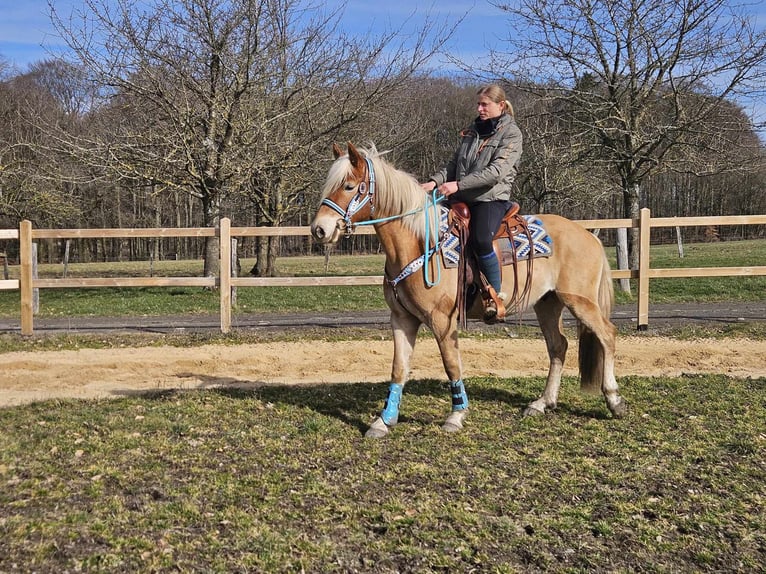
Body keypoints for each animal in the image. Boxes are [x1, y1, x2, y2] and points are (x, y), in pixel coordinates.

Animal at [312, 142, 632, 438]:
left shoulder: (442, 321)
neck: (420, 243)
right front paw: (383, 421)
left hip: (580, 301)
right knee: (558, 346)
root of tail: (589, 235)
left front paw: (456, 415)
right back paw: (542, 403)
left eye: (349, 186)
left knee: (607, 335)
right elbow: (399, 368)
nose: (319, 230)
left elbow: (451, 364)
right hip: (548, 304)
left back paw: (614, 400)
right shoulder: (402, 319)